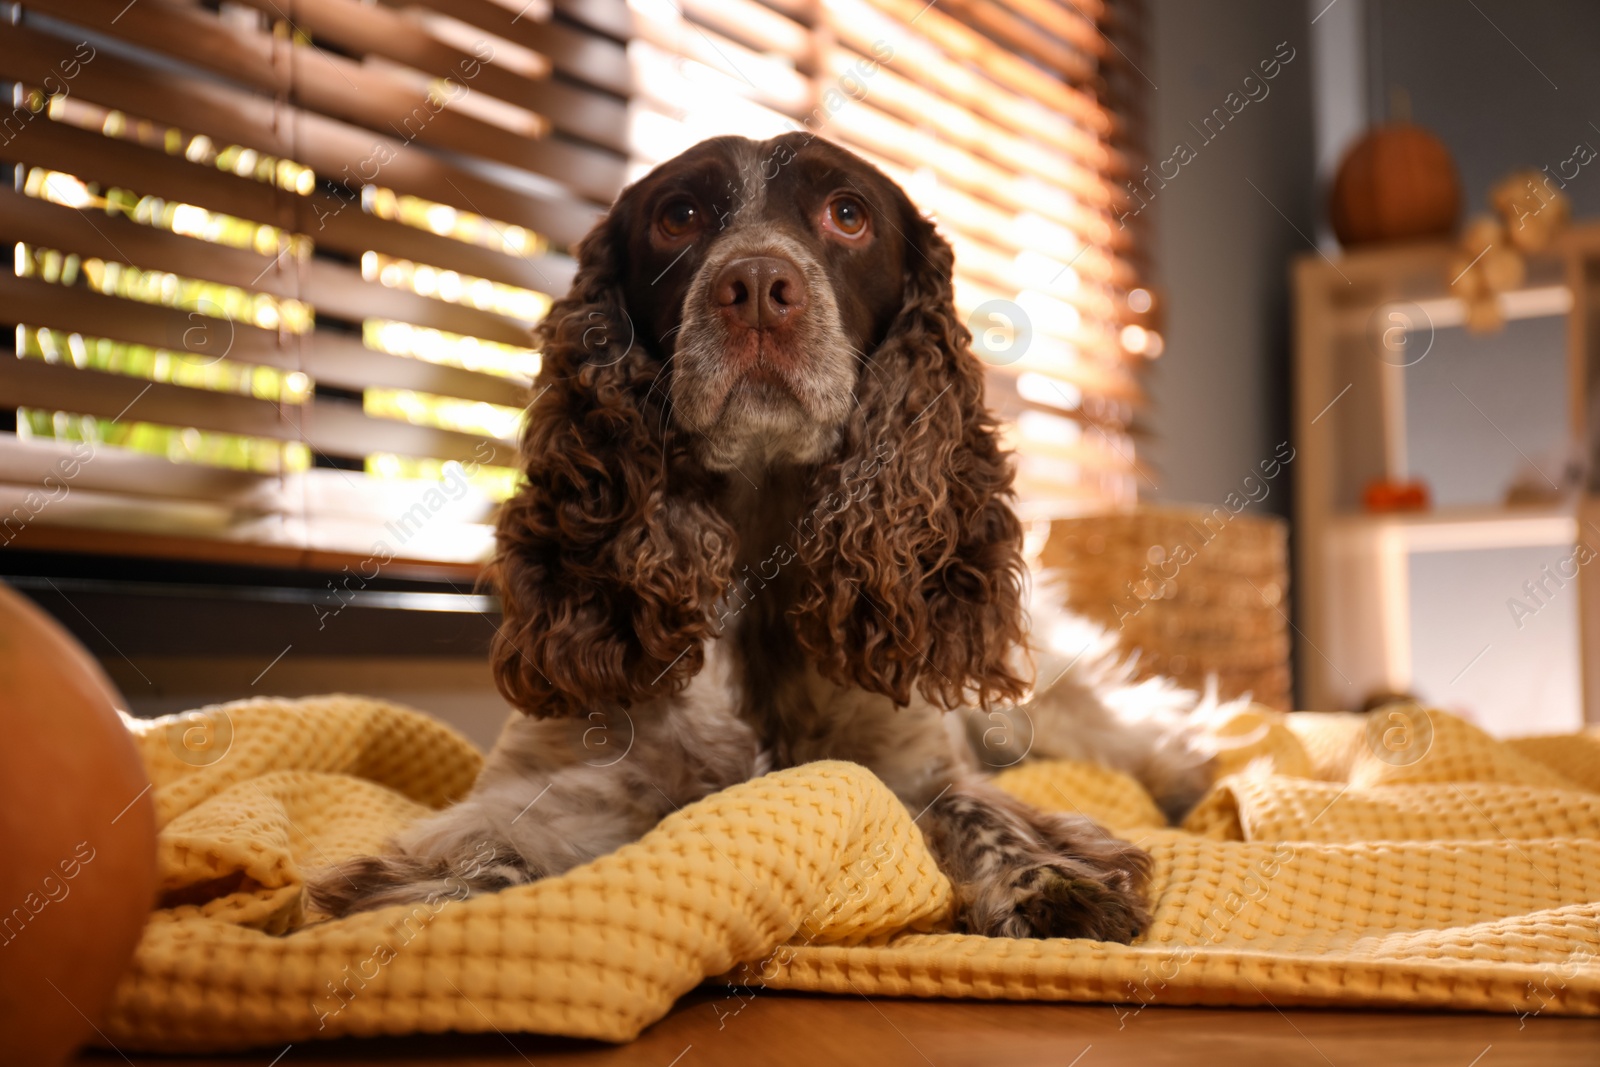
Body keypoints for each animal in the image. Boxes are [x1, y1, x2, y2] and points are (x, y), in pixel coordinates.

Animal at [308, 133, 1209, 940]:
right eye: (678, 216)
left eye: (848, 213)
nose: (755, 284)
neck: (757, 548)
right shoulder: (577, 778)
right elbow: (492, 840)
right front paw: (438, 906)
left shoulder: (908, 762)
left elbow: (975, 809)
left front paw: (1050, 878)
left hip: (1034, 709)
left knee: (1143, 730)